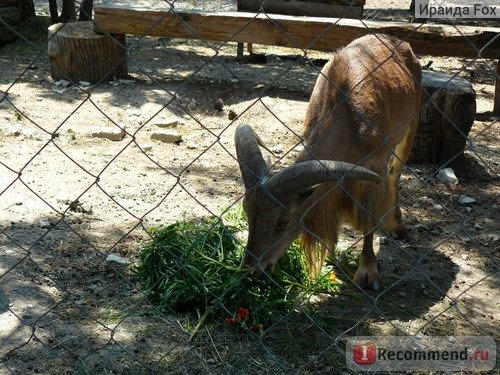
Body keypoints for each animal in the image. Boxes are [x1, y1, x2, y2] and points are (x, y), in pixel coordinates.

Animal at [234, 33, 422, 290]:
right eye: (247, 213)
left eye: (283, 222)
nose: (251, 269)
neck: (348, 119)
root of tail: (398, 42)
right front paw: (333, 256)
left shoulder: (374, 168)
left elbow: (369, 218)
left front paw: (368, 272)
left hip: (410, 126)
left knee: (396, 172)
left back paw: (396, 226)